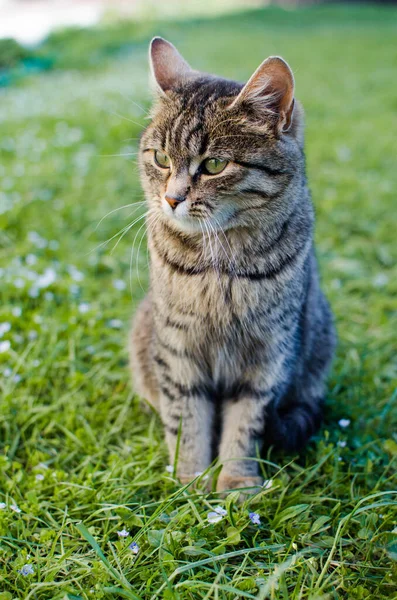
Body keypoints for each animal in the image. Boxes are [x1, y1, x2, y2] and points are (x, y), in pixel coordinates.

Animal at [129, 37, 334, 492]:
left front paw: (237, 482)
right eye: (161, 158)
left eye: (214, 165)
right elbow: (186, 421)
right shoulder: (179, 349)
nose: (171, 198)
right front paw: (190, 481)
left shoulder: (268, 356)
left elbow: (245, 425)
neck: (219, 265)